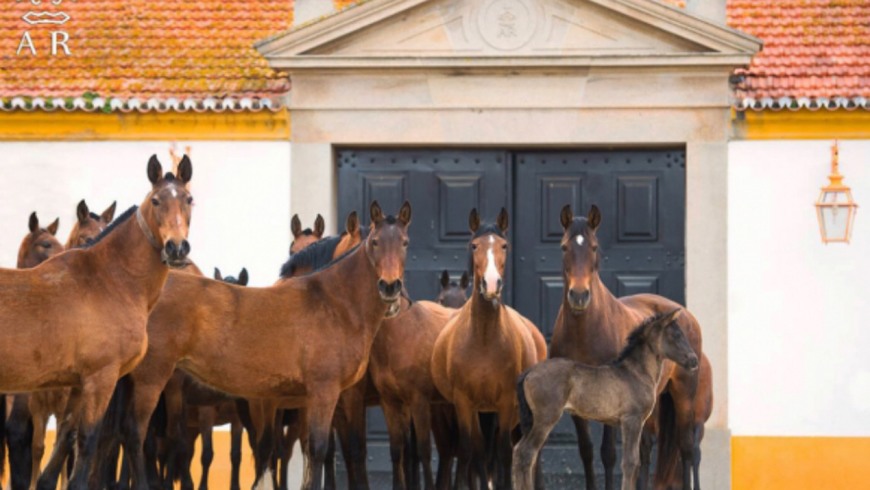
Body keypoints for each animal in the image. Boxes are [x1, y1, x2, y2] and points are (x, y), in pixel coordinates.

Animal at [0, 154, 194, 490]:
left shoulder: (77, 386)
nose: (177, 248)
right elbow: (88, 442)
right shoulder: (101, 378)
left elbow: (66, 439)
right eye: (156, 200)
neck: (109, 280)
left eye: (189, 199)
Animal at [105, 200, 412, 490]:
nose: (391, 288)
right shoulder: (323, 391)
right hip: (152, 378)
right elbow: (318, 450)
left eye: (405, 243)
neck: (334, 301)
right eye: (375, 242)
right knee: (136, 434)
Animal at [434, 208, 548, 490]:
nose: (492, 284)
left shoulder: (506, 402)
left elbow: (505, 453)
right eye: (474, 245)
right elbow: (469, 452)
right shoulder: (465, 403)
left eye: (504, 245)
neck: (484, 339)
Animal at [516, 310, 700, 490]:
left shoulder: (631, 423)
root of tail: (529, 372)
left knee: (520, 450)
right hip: (546, 418)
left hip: (532, 420)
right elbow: (630, 462)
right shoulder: (632, 420)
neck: (637, 372)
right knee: (527, 452)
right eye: (676, 335)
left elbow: (633, 461)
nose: (694, 361)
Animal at [552, 205, 708, 490]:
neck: (584, 331)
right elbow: (586, 450)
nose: (579, 296)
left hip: (685, 393)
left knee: (687, 449)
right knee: (646, 449)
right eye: (563, 246)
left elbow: (608, 454)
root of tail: (685, 314)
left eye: (594, 247)